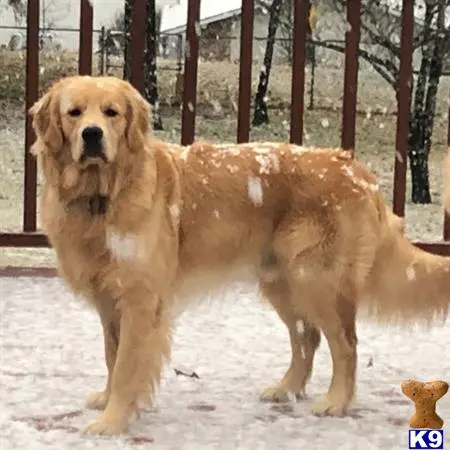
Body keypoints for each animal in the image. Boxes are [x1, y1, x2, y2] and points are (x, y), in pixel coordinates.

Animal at [29, 76, 448, 436]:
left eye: (111, 113)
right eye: (74, 112)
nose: (92, 134)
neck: (104, 193)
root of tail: (359, 172)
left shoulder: (140, 301)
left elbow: (127, 366)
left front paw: (113, 420)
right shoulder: (109, 301)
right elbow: (111, 356)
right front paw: (108, 401)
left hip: (317, 280)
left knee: (346, 344)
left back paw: (336, 401)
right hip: (282, 282)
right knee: (307, 338)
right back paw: (287, 388)